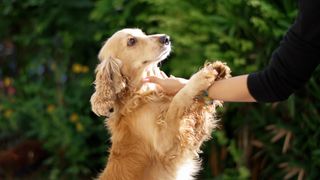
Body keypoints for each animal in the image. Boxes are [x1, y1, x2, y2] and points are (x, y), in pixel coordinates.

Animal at [90, 28, 230, 180]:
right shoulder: (165, 143)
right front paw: (200, 78)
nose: (166, 38)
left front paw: (218, 71)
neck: (139, 94)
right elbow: (178, 101)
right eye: (131, 41)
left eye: (143, 33)